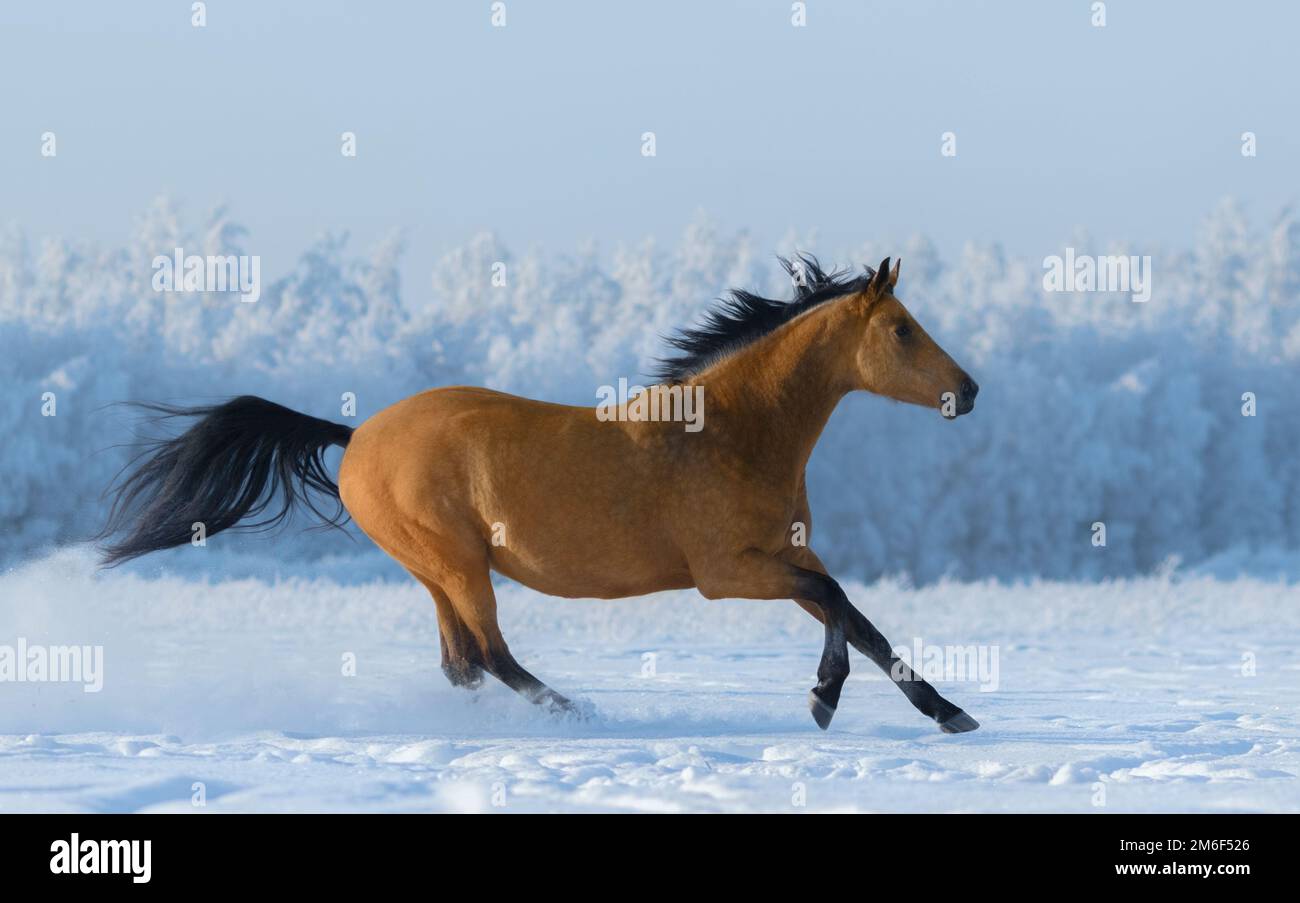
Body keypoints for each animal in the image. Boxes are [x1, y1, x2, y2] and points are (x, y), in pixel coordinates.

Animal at [98, 254, 977, 732]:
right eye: (901, 329)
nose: (967, 392)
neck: (730, 432)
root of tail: (356, 437)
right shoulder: (727, 573)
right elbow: (837, 602)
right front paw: (835, 698)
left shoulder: (781, 555)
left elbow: (851, 611)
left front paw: (926, 708)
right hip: (457, 561)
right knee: (490, 652)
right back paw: (580, 713)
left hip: (434, 571)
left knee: (461, 661)